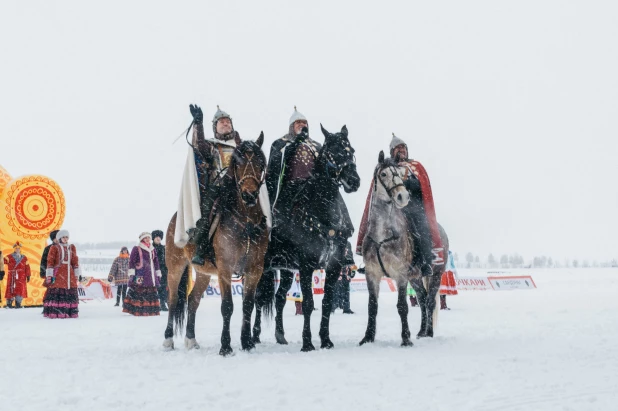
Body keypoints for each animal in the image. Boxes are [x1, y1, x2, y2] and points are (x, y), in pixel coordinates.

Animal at [162, 135, 268, 358]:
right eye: (238, 163)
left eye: (260, 163)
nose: (249, 195)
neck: (245, 222)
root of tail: (176, 218)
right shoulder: (225, 270)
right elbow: (227, 306)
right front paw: (226, 347)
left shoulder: (254, 270)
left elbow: (248, 305)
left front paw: (246, 343)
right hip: (175, 267)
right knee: (174, 300)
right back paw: (168, 340)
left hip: (203, 273)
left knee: (193, 300)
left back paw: (191, 340)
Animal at [250, 124, 358, 350]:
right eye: (332, 152)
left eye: (351, 150)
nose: (354, 181)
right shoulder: (307, 266)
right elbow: (308, 304)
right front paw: (307, 342)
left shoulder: (333, 266)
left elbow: (326, 302)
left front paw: (325, 339)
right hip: (262, 267)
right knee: (258, 298)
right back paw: (254, 335)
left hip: (286, 270)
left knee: (279, 297)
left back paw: (280, 335)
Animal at [356, 152, 448, 348]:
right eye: (383, 174)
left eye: (399, 173)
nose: (402, 196)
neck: (382, 235)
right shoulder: (372, 274)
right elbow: (372, 306)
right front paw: (368, 337)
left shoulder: (400, 275)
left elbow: (402, 306)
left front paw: (405, 339)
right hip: (415, 277)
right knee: (422, 298)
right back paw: (421, 331)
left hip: (436, 273)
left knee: (430, 301)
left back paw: (429, 332)